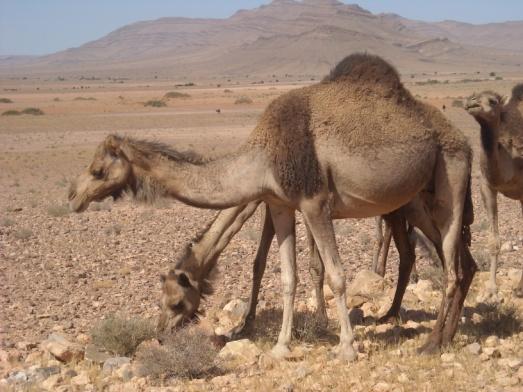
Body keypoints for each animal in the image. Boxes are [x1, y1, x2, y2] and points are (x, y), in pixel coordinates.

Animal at [67, 52, 476, 358]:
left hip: (450, 175)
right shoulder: (279, 205)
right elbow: (286, 277)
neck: (262, 158)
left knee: (451, 264)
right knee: (459, 261)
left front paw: (345, 347)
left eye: (99, 170)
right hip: (419, 200)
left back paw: (432, 343)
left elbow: (335, 275)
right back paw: (443, 335)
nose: (74, 196)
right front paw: (281, 346)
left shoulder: (313, 202)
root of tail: (463, 139)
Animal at [466, 86, 523, 298]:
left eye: (493, 101)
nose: (471, 102)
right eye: (473, 96)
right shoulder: (487, 186)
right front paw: (491, 289)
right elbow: (493, 241)